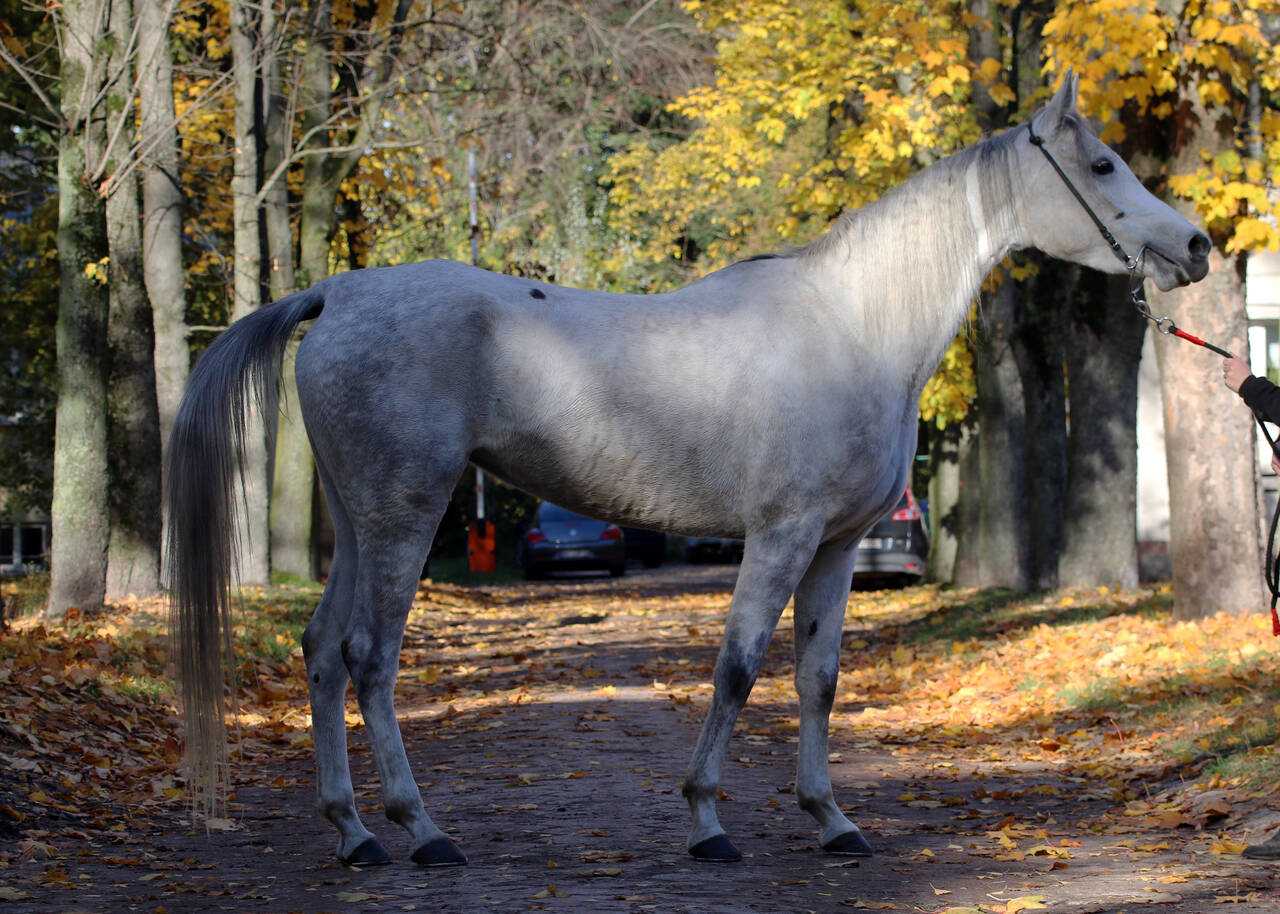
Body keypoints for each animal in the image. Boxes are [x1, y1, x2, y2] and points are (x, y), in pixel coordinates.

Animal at [167, 73, 1209, 867]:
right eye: (1103, 165)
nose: (1195, 246)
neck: (853, 325)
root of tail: (337, 295)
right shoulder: (782, 535)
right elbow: (739, 667)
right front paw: (708, 820)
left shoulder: (835, 547)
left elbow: (818, 677)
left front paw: (832, 819)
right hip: (405, 516)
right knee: (368, 659)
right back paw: (421, 833)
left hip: (362, 518)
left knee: (319, 652)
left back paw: (353, 835)